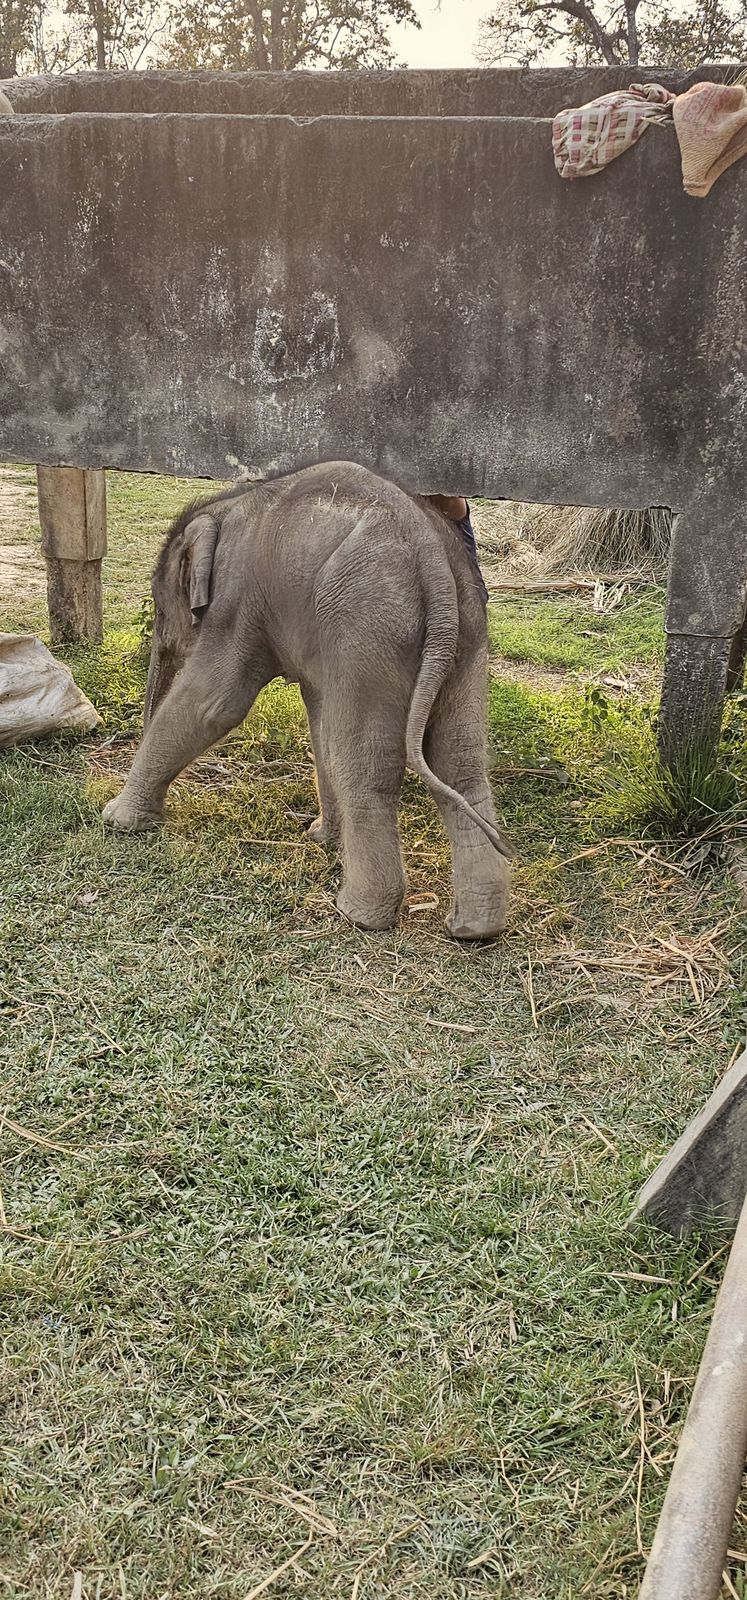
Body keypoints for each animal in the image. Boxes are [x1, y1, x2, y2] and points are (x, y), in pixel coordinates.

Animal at [103, 461, 515, 938]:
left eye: (157, 607)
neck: (226, 505)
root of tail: (434, 563)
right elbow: (318, 715)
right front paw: (321, 837)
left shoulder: (237, 600)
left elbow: (215, 702)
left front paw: (116, 820)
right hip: (466, 634)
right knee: (459, 762)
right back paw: (474, 929)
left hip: (367, 627)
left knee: (367, 762)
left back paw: (358, 914)